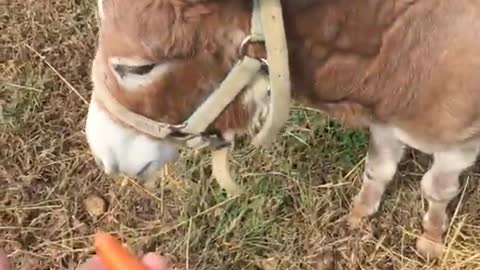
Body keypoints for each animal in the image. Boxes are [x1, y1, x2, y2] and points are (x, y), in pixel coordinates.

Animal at [84, 0, 480, 262]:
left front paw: (431, 237)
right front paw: (360, 215)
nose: (103, 154)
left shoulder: (456, 146)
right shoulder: (386, 122)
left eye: (138, 68)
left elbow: (437, 190)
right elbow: (378, 169)